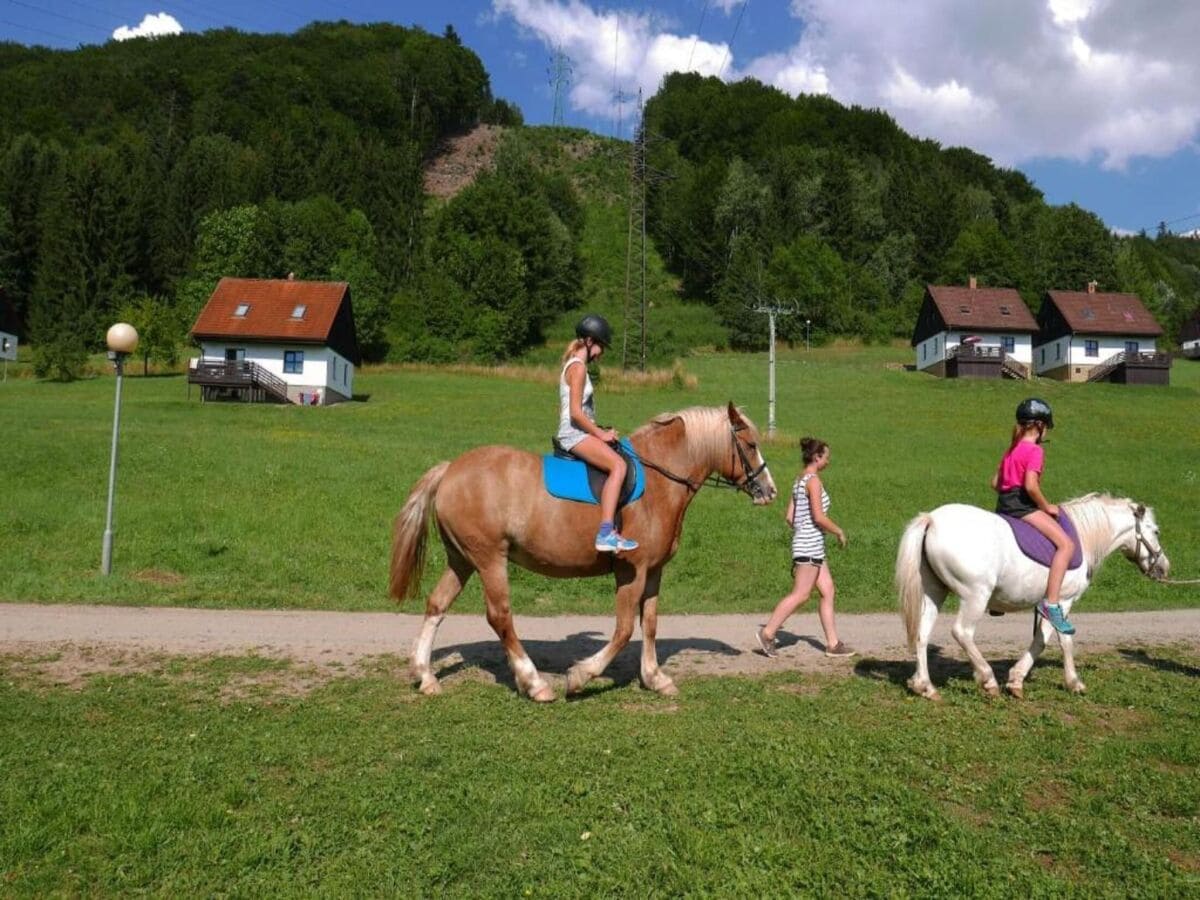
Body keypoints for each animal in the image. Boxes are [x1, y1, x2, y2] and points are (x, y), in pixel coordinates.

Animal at [386, 403, 777, 705]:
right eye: (751, 444)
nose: (769, 490)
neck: (659, 482)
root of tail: (450, 469)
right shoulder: (632, 571)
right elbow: (623, 630)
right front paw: (580, 677)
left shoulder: (653, 571)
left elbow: (649, 624)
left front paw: (655, 678)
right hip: (488, 559)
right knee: (500, 617)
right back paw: (534, 683)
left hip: (462, 560)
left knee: (437, 604)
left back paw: (426, 676)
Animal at [897, 501, 1166, 696]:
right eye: (1156, 531)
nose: (1164, 567)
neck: (1082, 537)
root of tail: (932, 519)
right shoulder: (1062, 602)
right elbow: (1059, 640)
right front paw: (1072, 682)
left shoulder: (1048, 605)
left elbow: (1042, 640)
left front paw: (1017, 679)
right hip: (976, 596)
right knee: (962, 632)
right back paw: (987, 679)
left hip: (934, 592)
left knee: (922, 634)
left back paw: (925, 686)